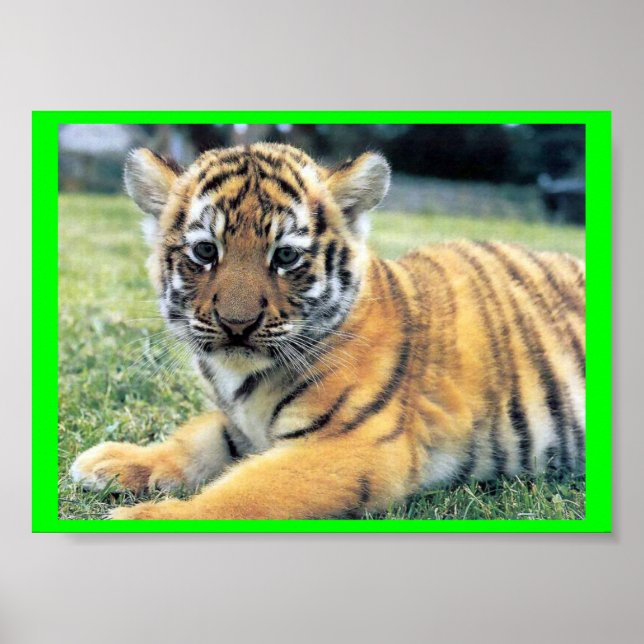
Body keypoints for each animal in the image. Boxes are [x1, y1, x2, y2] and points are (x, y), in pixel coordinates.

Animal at [70, 142, 586, 520]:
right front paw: (113, 461)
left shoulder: (350, 445)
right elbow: (195, 440)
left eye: (285, 256)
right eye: (205, 251)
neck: (243, 381)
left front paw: (145, 518)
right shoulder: (239, 424)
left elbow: (244, 492)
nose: (238, 324)